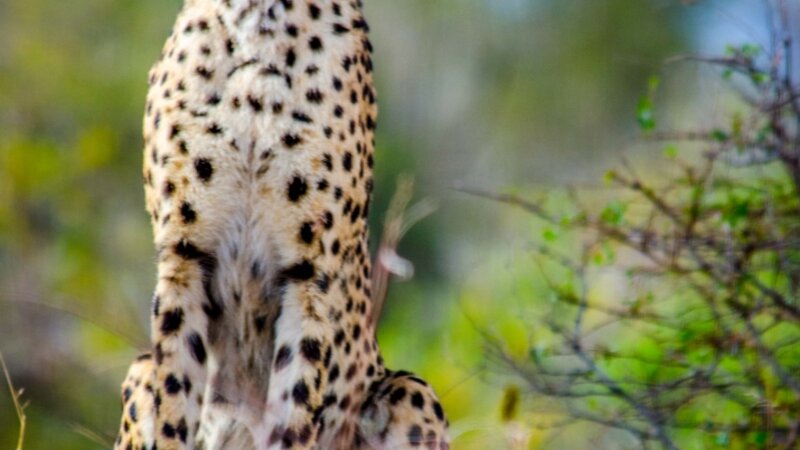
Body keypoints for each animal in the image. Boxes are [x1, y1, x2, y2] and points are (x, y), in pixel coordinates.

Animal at [113, 0, 449, 449]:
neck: (259, 20)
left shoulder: (310, 278)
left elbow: (295, 409)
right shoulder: (183, 258)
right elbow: (173, 407)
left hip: (411, 391)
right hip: (140, 370)